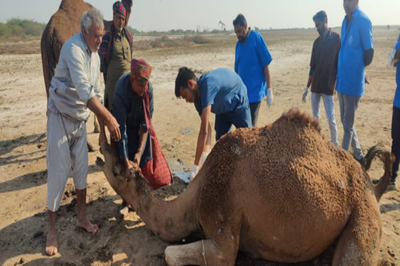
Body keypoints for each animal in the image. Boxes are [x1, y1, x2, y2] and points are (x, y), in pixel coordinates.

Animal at [96, 108, 390, 266]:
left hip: (363, 213)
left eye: (115, 169)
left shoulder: (221, 219)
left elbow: (171, 253)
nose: (100, 149)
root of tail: (369, 183)